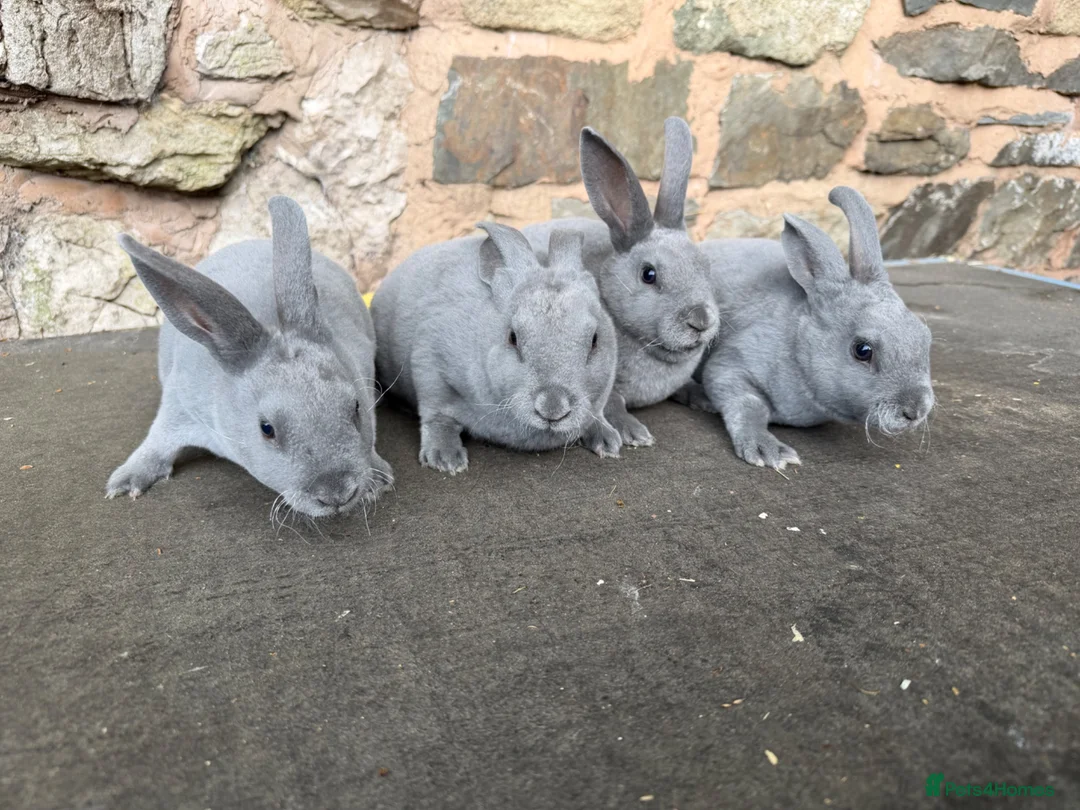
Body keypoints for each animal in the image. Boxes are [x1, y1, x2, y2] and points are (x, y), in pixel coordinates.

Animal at [106, 196, 394, 518]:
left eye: (355, 407)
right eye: (266, 429)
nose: (338, 494)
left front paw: (378, 480)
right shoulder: (178, 405)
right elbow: (158, 441)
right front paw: (126, 482)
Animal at [370, 222, 620, 474]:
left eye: (595, 340)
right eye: (512, 337)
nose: (552, 408)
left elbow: (595, 416)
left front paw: (609, 441)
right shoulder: (429, 362)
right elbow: (437, 415)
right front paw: (445, 459)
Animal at [521, 117, 720, 449]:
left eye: (705, 266)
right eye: (649, 274)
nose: (701, 320)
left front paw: (705, 397)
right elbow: (611, 403)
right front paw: (630, 433)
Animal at [677, 186, 934, 469]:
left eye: (925, 338)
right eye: (862, 350)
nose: (915, 411)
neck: (797, 344)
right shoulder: (732, 366)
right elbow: (748, 404)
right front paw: (767, 450)